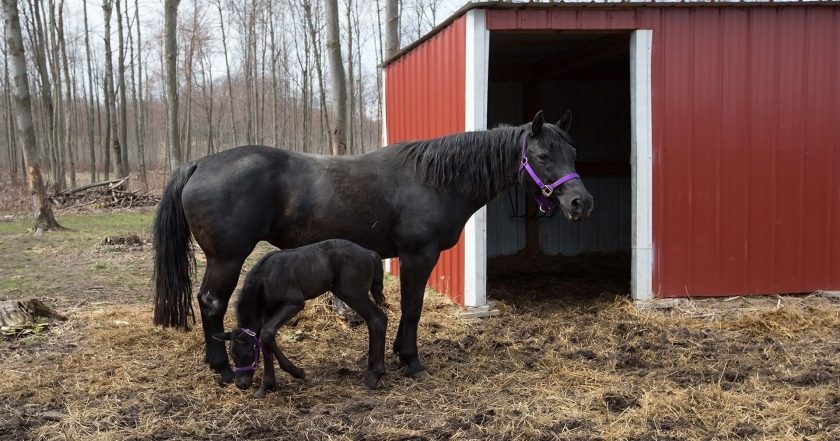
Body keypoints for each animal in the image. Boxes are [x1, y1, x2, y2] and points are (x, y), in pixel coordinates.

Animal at [156, 110, 592, 382]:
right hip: (226, 258)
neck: (434, 179)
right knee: (211, 302)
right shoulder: (418, 255)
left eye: (572, 152)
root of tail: (199, 164)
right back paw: (223, 368)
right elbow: (413, 308)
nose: (580, 203)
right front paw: (410, 359)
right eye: (542, 155)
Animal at [212, 239, 386, 398]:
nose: (241, 384)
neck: (266, 279)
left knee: (378, 319)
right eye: (232, 355)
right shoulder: (269, 311)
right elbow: (264, 340)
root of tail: (370, 253)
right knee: (372, 321)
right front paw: (266, 387)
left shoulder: (294, 303)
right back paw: (369, 370)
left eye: (247, 352)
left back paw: (375, 375)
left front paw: (297, 372)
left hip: (353, 294)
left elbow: (267, 334)